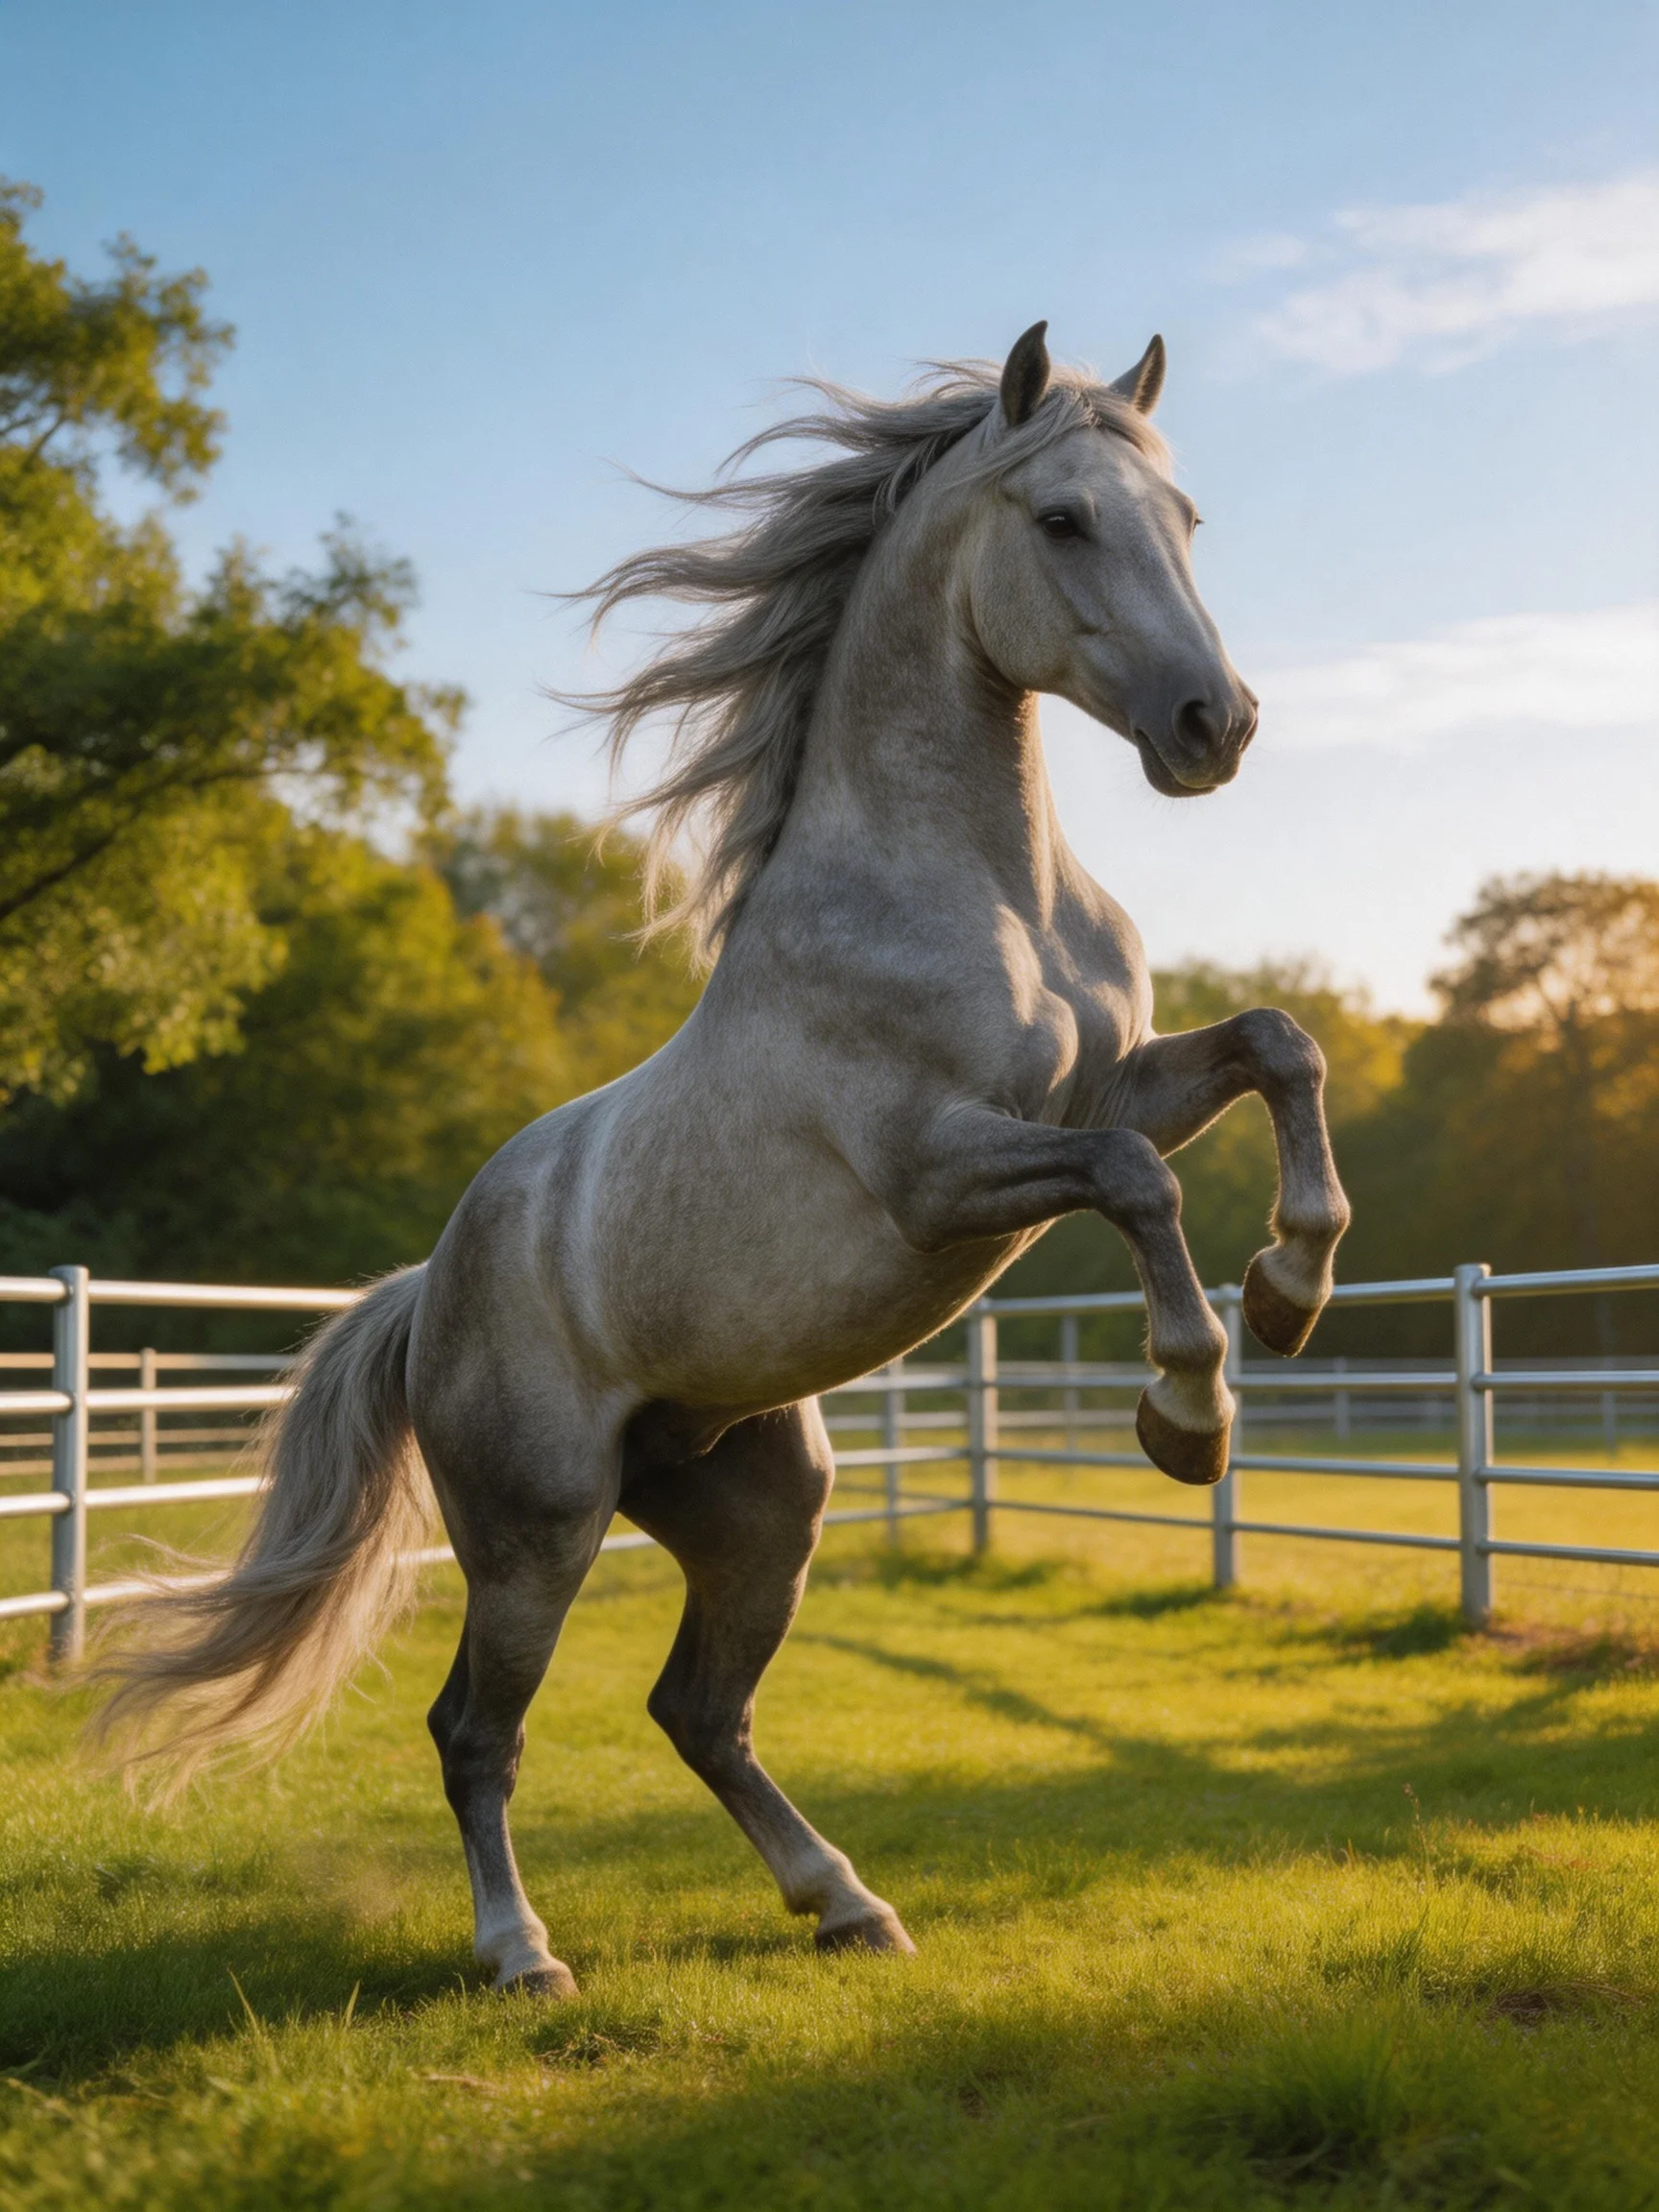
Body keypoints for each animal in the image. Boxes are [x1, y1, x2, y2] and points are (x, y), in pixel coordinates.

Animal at [96, 324, 1350, 1995]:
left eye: (1188, 518)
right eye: (1063, 519)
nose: (1218, 725)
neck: (979, 893)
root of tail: (432, 1286)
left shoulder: (1122, 1084)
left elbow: (1280, 1046)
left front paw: (1288, 1287)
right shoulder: (943, 1172)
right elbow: (1138, 1187)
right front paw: (1189, 1416)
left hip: (762, 1508)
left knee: (696, 1711)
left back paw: (849, 1903)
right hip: (536, 1530)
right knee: (474, 1730)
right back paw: (524, 1953)